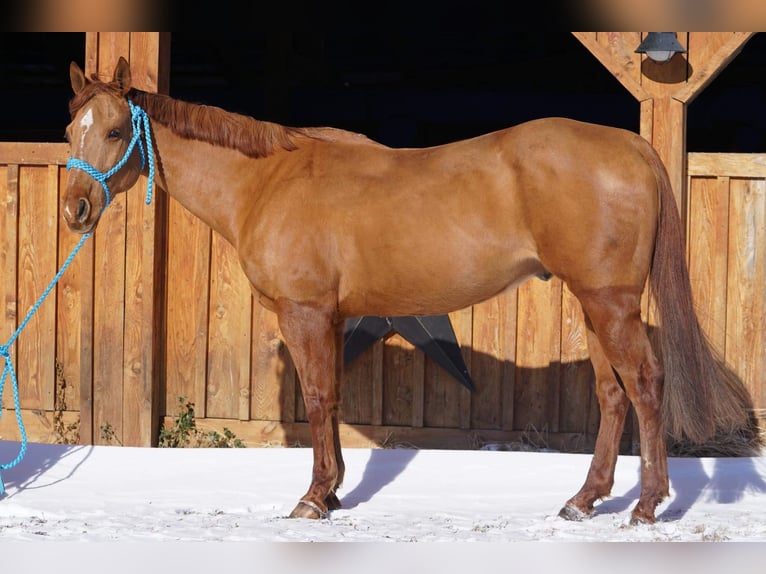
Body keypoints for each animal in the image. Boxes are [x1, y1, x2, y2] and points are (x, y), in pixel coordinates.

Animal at [63, 58, 760, 528]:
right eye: (71, 128)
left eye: (114, 130)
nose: (75, 209)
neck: (268, 181)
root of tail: (632, 145)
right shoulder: (332, 317)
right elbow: (333, 397)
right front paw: (334, 490)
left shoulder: (305, 312)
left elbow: (317, 398)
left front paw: (313, 498)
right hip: (594, 305)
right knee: (612, 396)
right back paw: (583, 501)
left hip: (610, 303)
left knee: (645, 386)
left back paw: (646, 506)